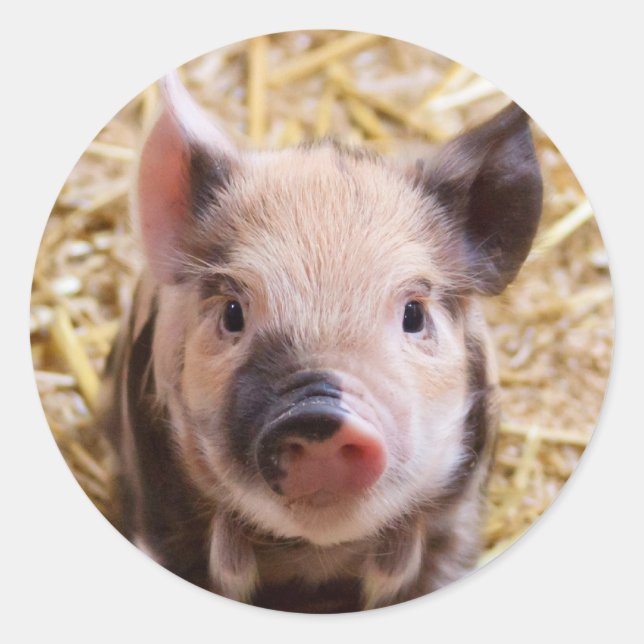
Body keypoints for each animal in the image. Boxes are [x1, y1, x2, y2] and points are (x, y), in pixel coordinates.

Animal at [98, 72, 542, 613]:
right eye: (232, 313)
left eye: (414, 314)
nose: (319, 413)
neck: (315, 560)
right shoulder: (159, 514)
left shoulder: (457, 523)